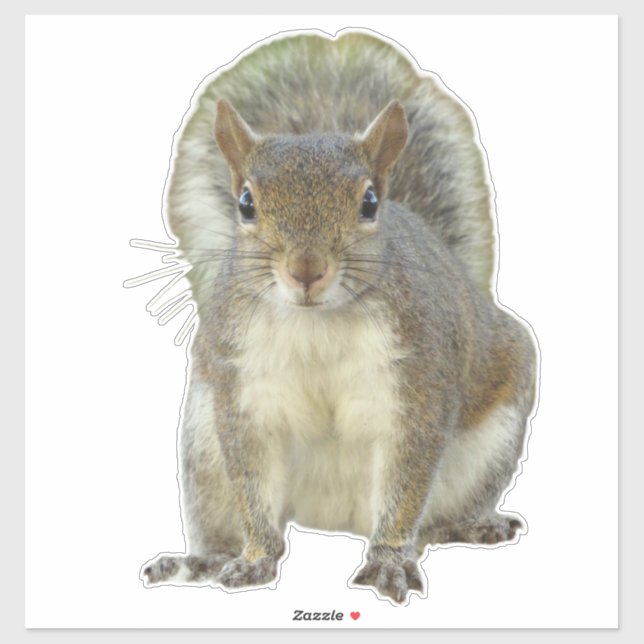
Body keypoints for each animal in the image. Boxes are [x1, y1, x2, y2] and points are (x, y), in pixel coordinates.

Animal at [141, 31, 537, 605]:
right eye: (245, 203)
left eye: (369, 202)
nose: (306, 270)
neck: (316, 323)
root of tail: (334, 518)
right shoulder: (242, 391)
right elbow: (253, 481)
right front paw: (255, 560)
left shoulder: (416, 382)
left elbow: (406, 480)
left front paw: (389, 561)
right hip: (204, 451)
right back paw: (204, 561)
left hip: (489, 440)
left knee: (432, 518)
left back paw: (468, 526)